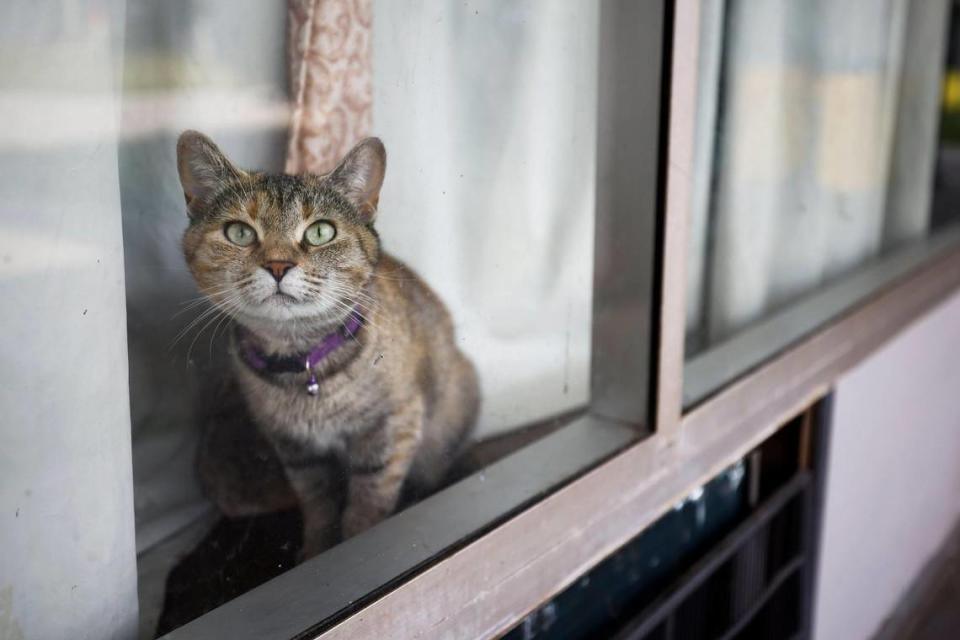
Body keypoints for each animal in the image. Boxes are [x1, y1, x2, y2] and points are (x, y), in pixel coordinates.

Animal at [175, 132, 480, 556]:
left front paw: (355, 546)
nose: (278, 266)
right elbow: (318, 505)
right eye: (240, 232)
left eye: (320, 232)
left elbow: (366, 507)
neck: (303, 365)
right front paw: (317, 550)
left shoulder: (392, 429)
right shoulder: (296, 452)